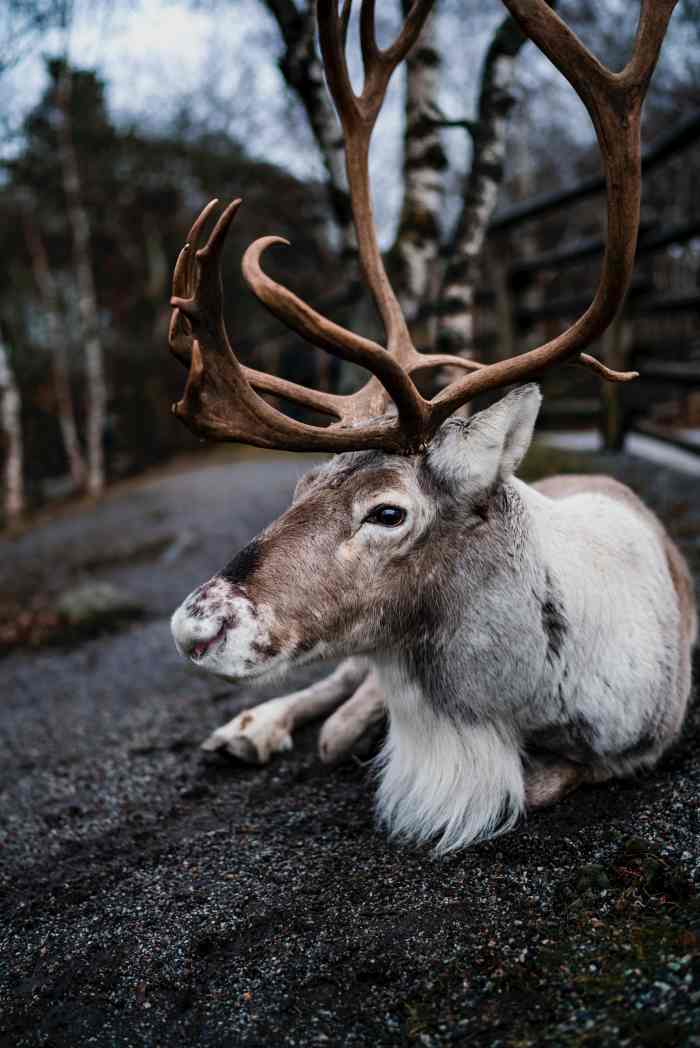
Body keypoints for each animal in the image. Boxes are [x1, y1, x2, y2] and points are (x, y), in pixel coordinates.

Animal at [169, 0, 695, 852]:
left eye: (388, 512)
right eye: (299, 484)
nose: (196, 625)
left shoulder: (640, 742)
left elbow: (535, 783)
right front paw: (331, 728)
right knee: (336, 681)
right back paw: (252, 728)